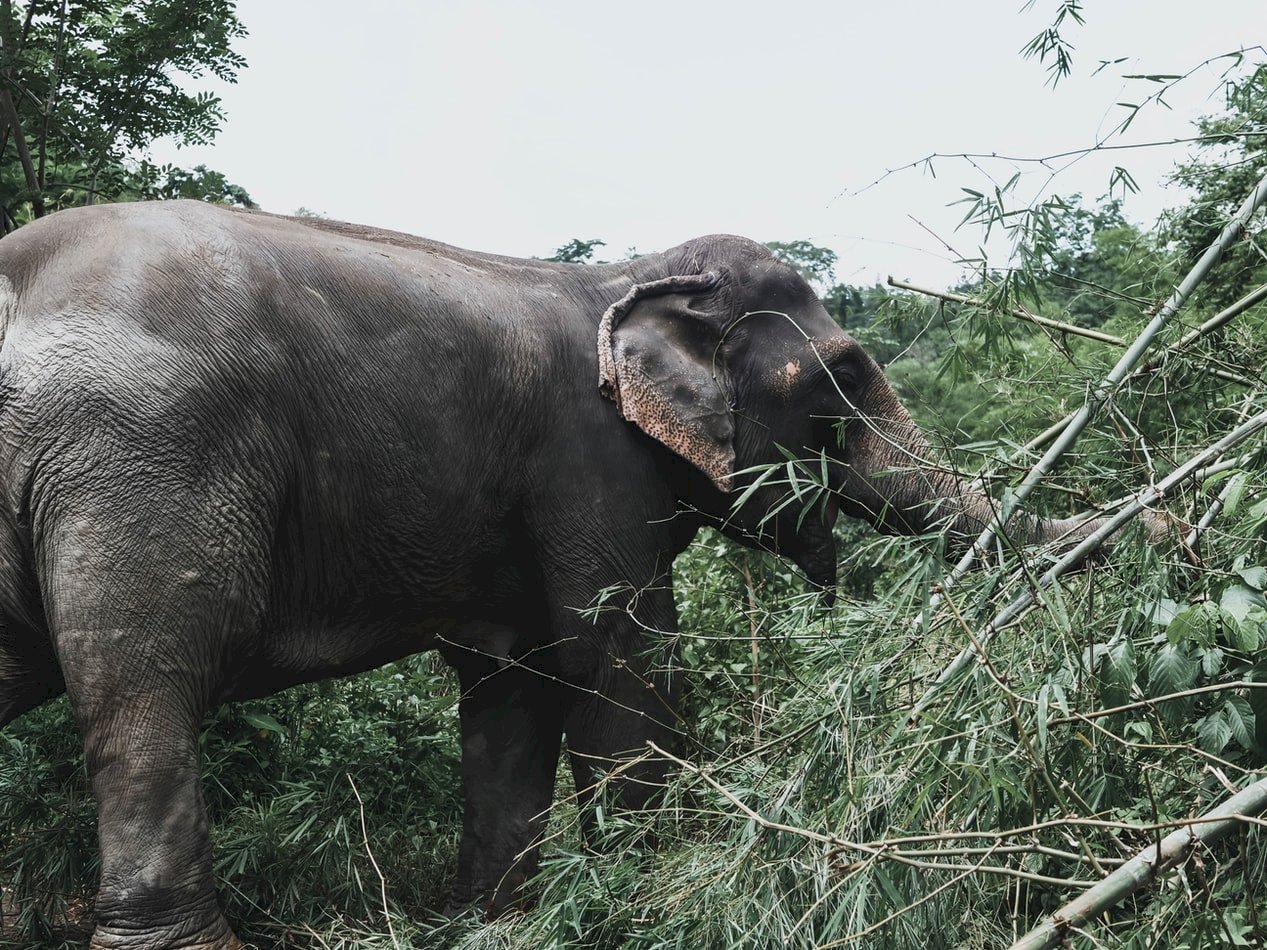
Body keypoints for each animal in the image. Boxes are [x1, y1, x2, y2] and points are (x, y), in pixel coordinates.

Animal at [0, 200, 1153, 948]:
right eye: (845, 377)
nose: (1161, 517)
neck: (630, 280)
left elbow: (513, 686)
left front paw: (495, 925)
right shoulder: (587, 463)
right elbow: (621, 664)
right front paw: (656, 900)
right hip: (142, 458)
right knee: (147, 691)